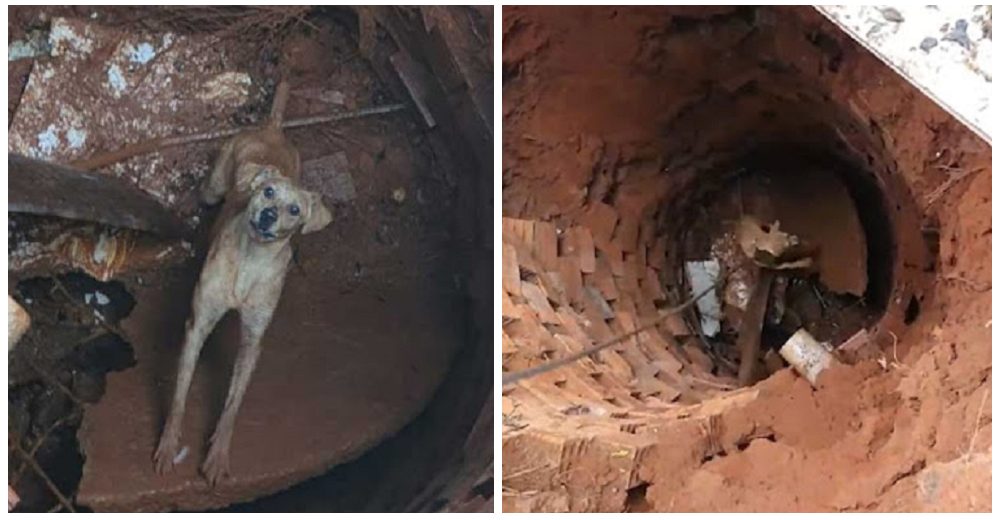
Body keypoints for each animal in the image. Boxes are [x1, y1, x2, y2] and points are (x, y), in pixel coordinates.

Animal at [152, 80, 332, 484]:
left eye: (294, 210)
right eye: (268, 192)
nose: (267, 215)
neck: (250, 262)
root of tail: (272, 129)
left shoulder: (253, 341)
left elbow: (234, 403)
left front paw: (218, 455)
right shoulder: (198, 323)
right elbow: (180, 393)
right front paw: (169, 443)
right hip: (215, 184)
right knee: (205, 194)